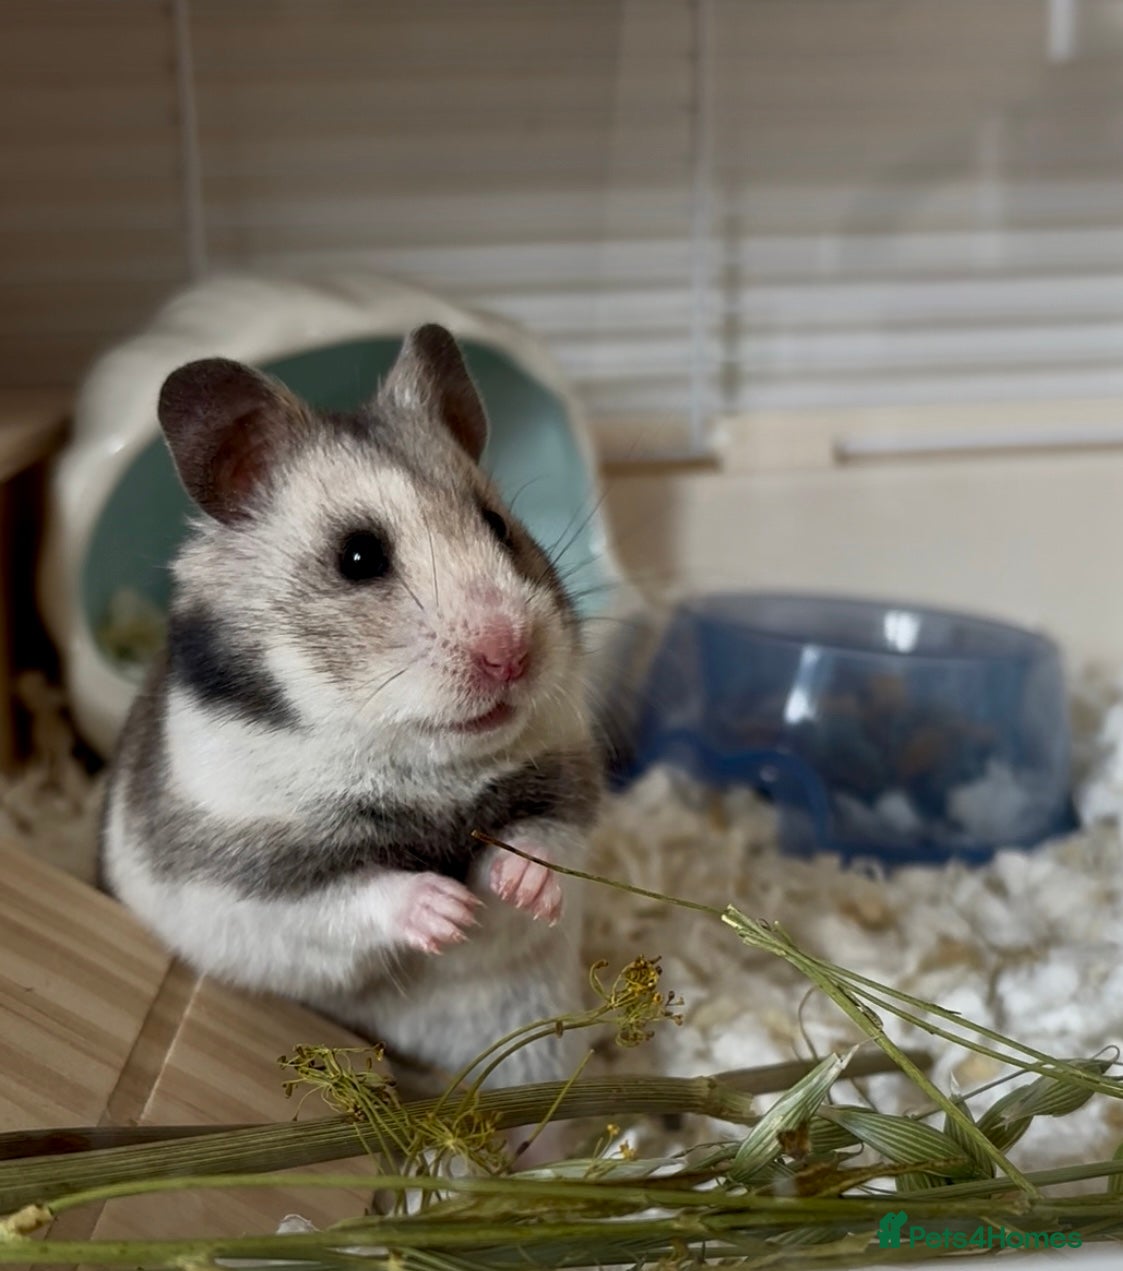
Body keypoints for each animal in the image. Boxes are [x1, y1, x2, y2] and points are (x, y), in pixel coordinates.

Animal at [100, 325, 601, 1096]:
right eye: (359, 556)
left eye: (498, 526)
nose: (510, 653)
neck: (422, 769)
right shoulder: (250, 884)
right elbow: (354, 895)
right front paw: (450, 913)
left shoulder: (568, 784)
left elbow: (547, 839)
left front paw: (517, 887)